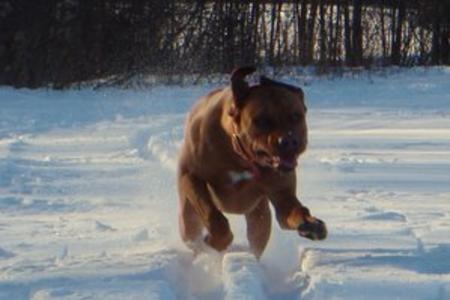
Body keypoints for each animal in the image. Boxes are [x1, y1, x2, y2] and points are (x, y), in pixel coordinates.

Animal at [177, 67, 326, 258]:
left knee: (257, 241)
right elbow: (212, 214)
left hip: (260, 217)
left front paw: (311, 224)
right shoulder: (191, 176)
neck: (241, 158)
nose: (290, 141)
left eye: (296, 116)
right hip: (188, 218)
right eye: (261, 120)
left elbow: (293, 210)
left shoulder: (282, 193)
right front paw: (216, 241)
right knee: (192, 233)